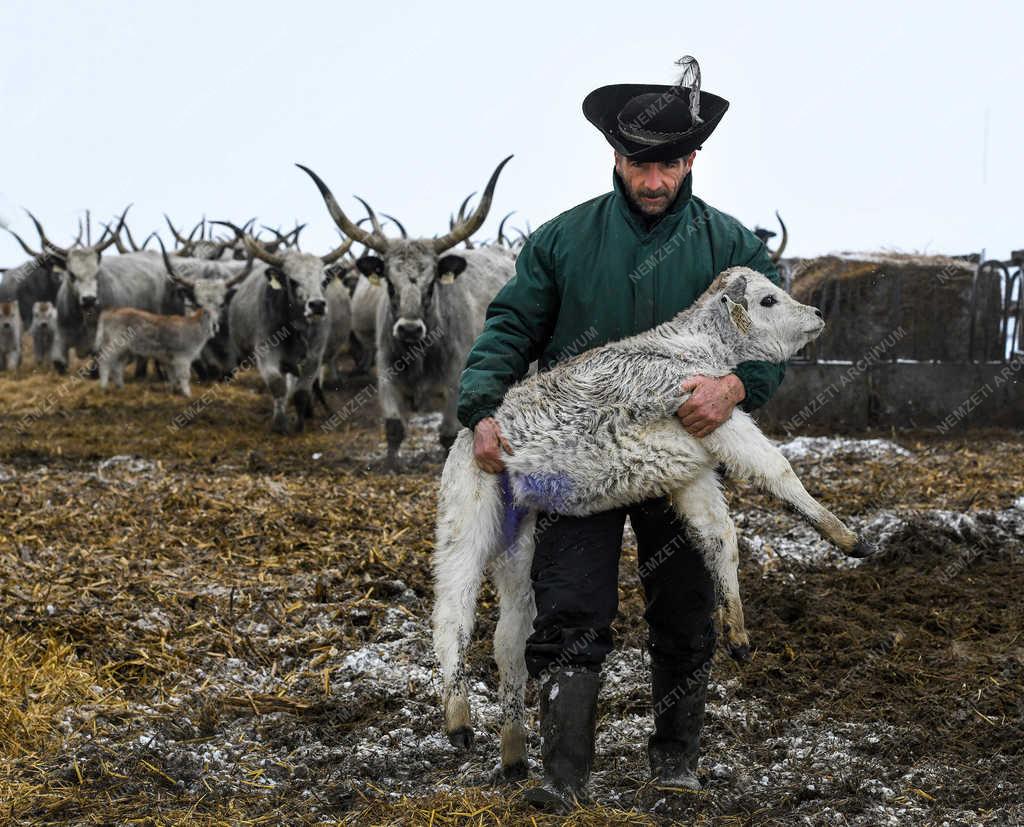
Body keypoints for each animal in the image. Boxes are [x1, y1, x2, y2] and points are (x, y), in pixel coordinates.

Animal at [299, 156, 516, 464]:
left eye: (431, 283)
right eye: (389, 282)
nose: (410, 329)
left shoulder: (454, 384)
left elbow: (447, 434)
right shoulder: (387, 378)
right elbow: (394, 427)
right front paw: (391, 464)